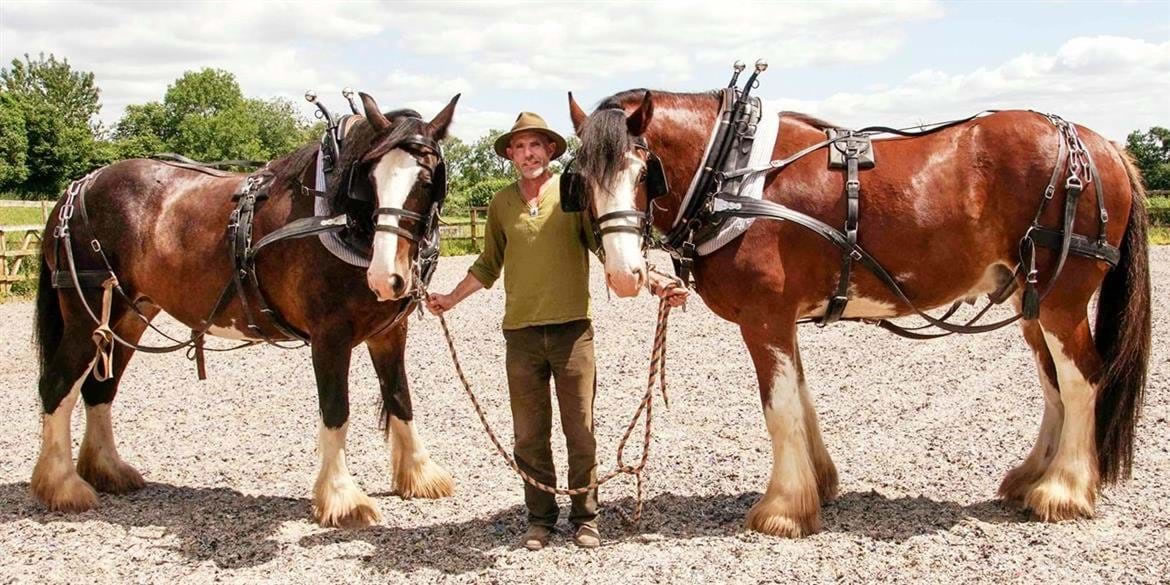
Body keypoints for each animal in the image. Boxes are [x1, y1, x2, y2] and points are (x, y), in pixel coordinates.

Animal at [29, 92, 458, 531]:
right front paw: (342, 498)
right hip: (85, 315)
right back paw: (63, 485)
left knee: (100, 389)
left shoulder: (389, 332)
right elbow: (336, 410)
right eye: (369, 179)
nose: (386, 277)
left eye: (427, 181)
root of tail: (77, 188)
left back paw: (108, 470)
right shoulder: (329, 336)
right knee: (57, 386)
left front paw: (419, 474)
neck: (334, 219)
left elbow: (400, 397)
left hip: (129, 317)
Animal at [566, 90, 1151, 538]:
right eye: (580, 180)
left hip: (1062, 301)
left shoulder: (764, 317)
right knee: (1053, 384)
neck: (732, 173)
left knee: (1081, 381)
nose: (624, 274)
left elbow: (778, 408)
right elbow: (800, 399)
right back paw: (1032, 478)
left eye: (647, 172)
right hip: (1029, 301)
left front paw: (783, 508)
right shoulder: (782, 318)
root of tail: (1100, 145)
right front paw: (817, 485)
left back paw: (1063, 490)